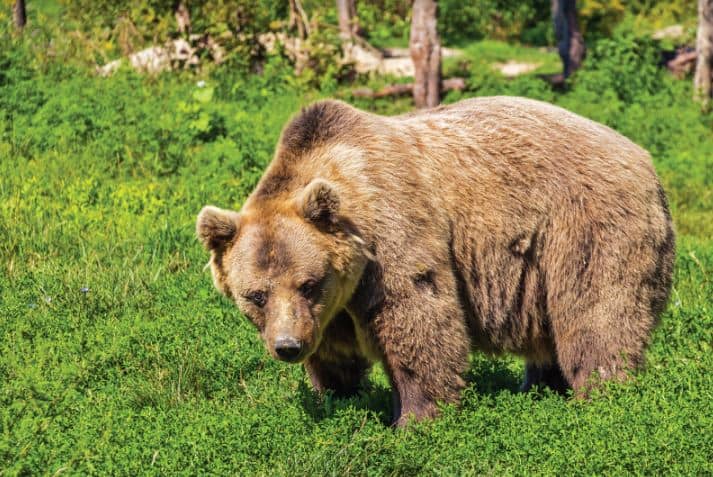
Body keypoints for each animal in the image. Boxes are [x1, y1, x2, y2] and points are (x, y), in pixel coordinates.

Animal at [196, 97, 675, 426]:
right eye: (256, 295)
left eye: (308, 283)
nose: (287, 347)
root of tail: (644, 159)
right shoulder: (330, 310)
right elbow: (334, 355)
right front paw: (338, 397)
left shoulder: (392, 237)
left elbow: (419, 320)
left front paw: (415, 419)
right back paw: (540, 387)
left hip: (585, 227)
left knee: (597, 315)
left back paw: (603, 395)